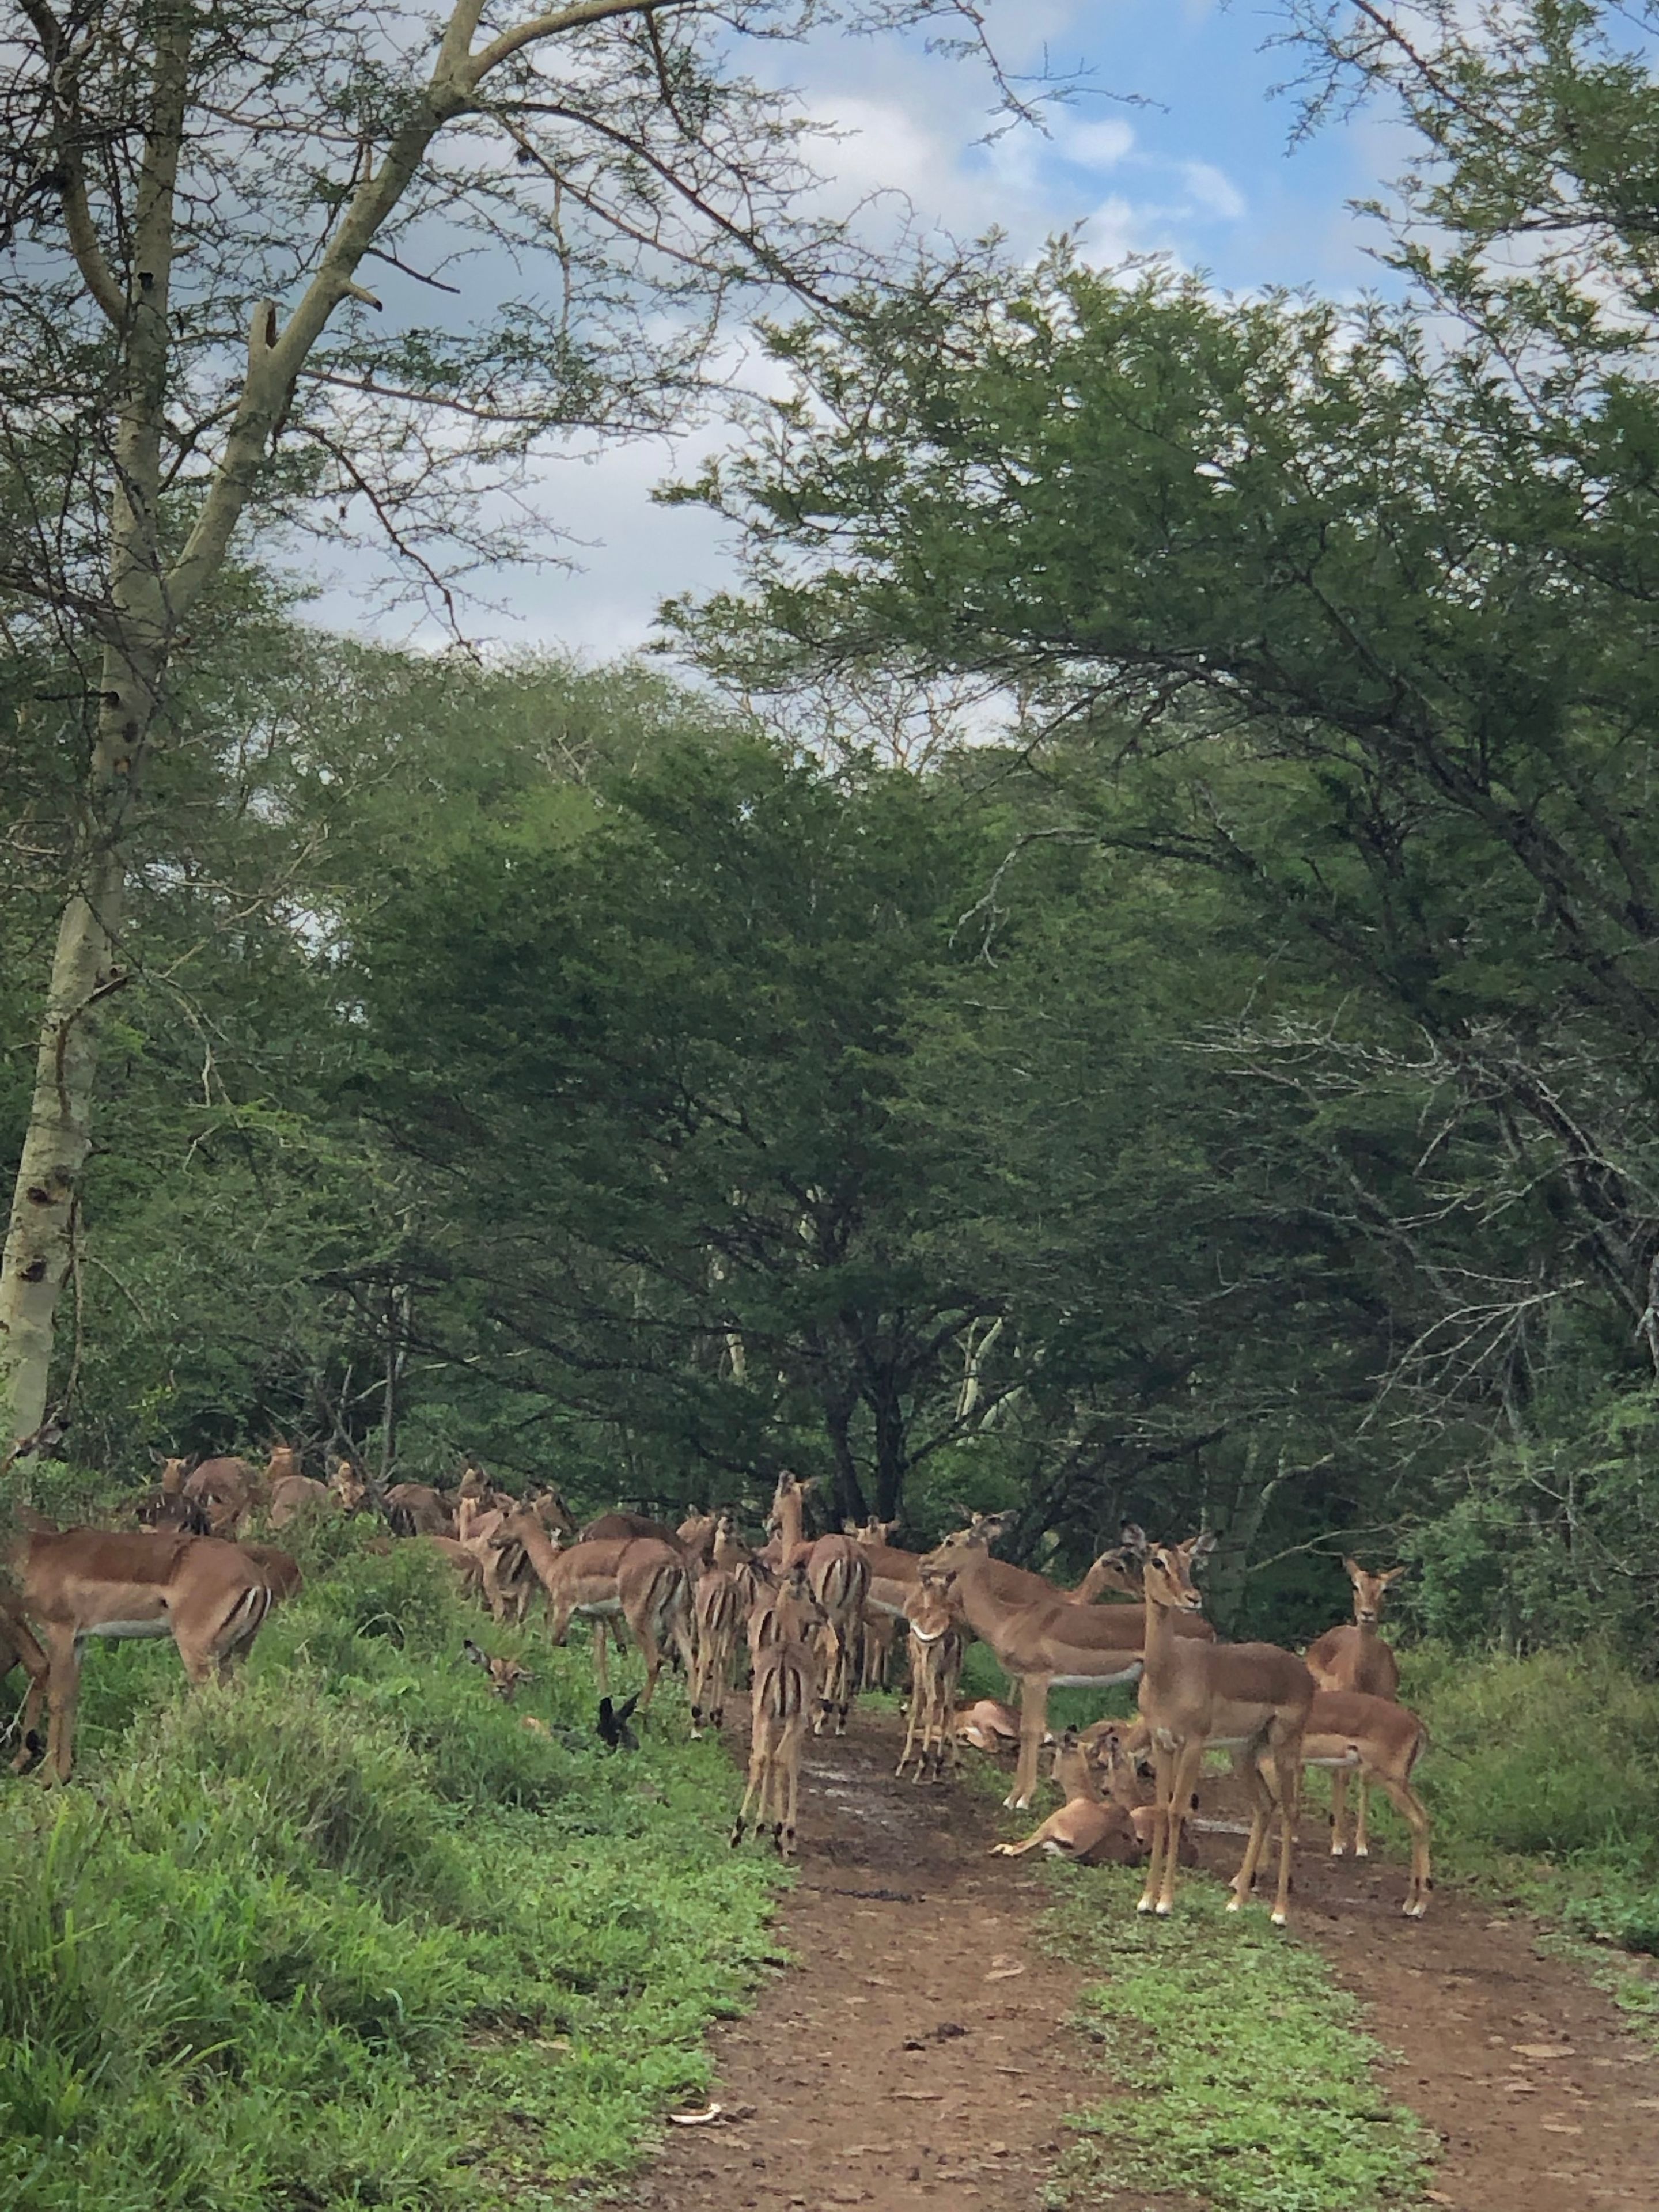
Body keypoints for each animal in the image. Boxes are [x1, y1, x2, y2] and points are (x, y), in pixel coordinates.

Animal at [6, 1528, 273, 1782]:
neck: (42, 1551)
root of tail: (256, 1578)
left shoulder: (60, 1632)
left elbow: (57, 1700)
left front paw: (48, 1780)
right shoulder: (78, 1639)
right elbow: (72, 1697)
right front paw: (63, 1775)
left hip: (199, 1655)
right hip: (236, 1653)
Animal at [496, 1502, 692, 1712]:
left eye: (507, 1515)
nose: (493, 1540)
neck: (554, 1564)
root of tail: (674, 1562)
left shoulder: (563, 1608)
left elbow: (554, 1644)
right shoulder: (597, 1617)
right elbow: (600, 1658)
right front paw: (603, 1694)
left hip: (639, 1617)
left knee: (655, 1661)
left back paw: (641, 1709)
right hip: (676, 1614)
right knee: (692, 1661)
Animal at [766, 1472, 870, 1736]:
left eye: (776, 1494)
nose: (770, 1523)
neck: (795, 1550)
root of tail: (850, 1554)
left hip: (829, 1615)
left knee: (834, 1650)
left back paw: (822, 1717)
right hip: (853, 1615)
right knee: (850, 1653)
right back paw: (840, 1718)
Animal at [1118, 1526, 1313, 1926]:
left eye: (1190, 1562)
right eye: (1157, 1560)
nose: (1193, 1598)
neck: (1170, 1672)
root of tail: (1306, 1676)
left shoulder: (1193, 1744)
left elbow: (1177, 1810)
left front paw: (1166, 1902)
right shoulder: (1163, 1744)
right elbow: (1160, 1808)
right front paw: (1145, 1900)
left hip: (1284, 1747)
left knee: (1290, 1811)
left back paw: (1279, 1913)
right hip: (1244, 1753)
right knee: (1265, 1806)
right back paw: (1236, 1902)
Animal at [1305, 1558, 1407, 1860]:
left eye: (1385, 1589)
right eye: (1355, 1585)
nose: (1367, 1615)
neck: (1364, 1679)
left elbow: (1365, 1777)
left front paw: (1361, 1845)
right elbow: (1342, 1776)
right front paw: (1339, 1842)